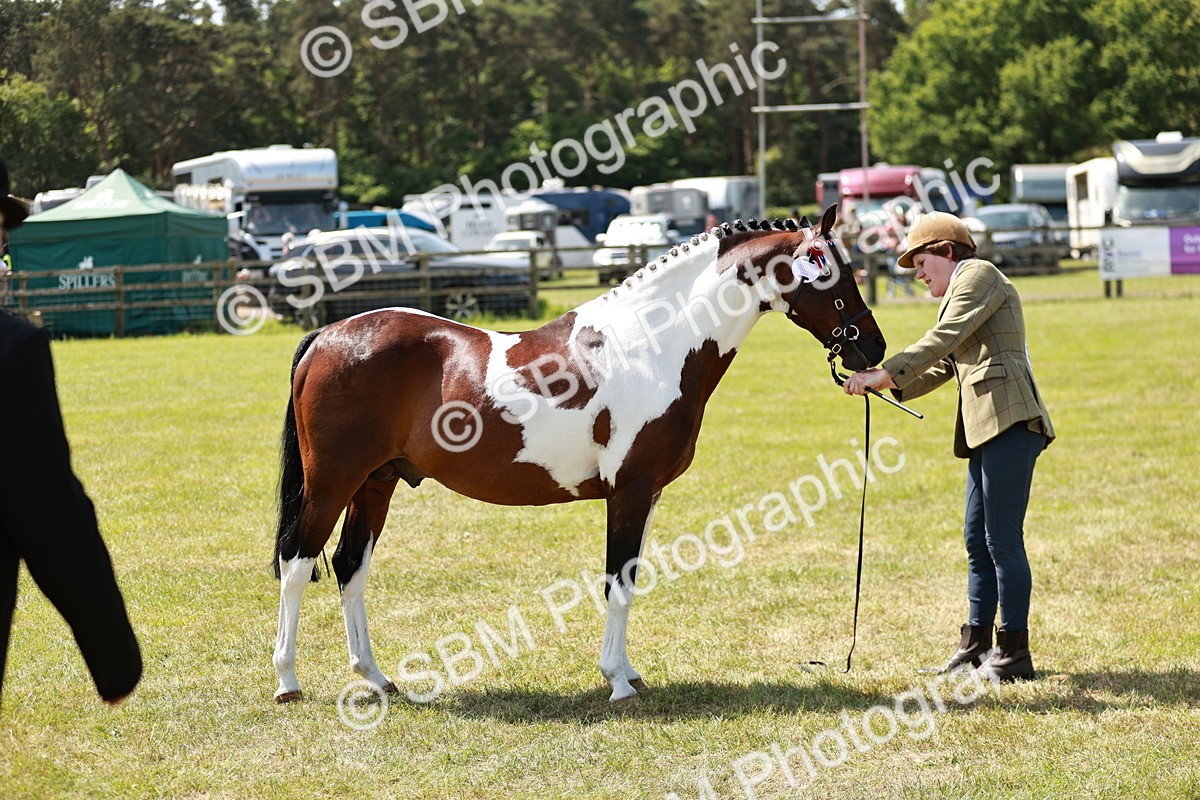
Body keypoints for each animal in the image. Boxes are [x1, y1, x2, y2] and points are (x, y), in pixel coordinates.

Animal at [271, 205, 887, 704]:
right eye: (834, 272)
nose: (874, 347)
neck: (652, 345)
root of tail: (328, 333)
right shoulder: (629, 490)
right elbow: (616, 583)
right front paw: (617, 682)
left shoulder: (647, 493)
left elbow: (631, 578)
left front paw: (629, 673)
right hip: (332, 483)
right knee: (298, 564)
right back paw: (288, 681)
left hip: (376, 483)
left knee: (350, 567)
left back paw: (376, 679)